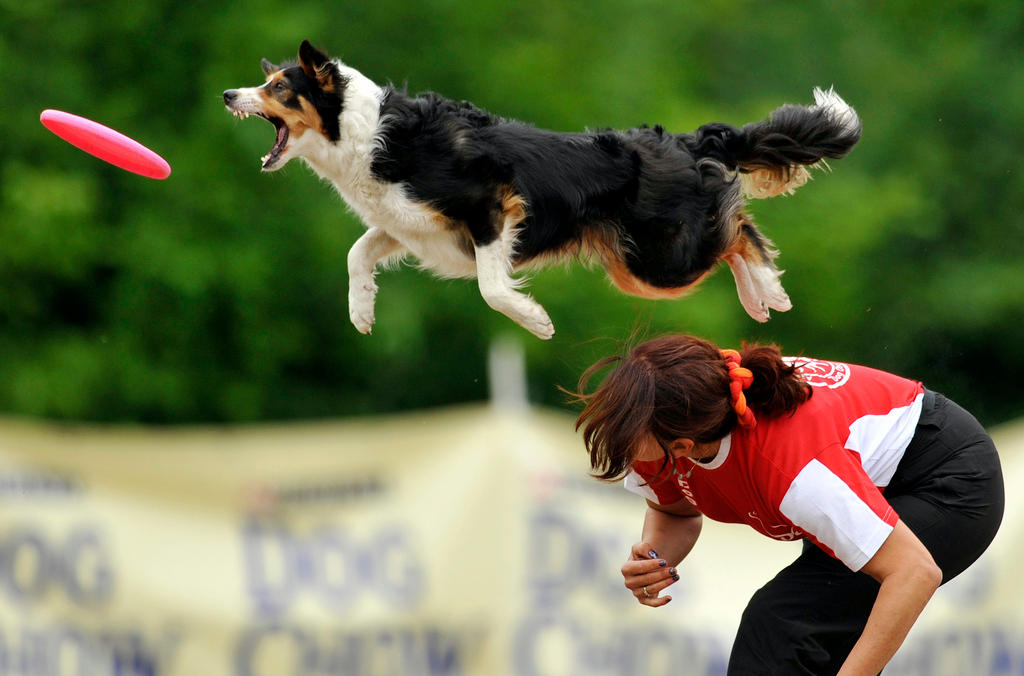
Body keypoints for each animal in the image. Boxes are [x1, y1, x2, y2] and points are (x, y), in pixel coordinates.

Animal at [226, 39, 864, 340]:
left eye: (279, 87)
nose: (229, 95)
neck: (363, 133)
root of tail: (685, 141)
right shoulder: (410, 225)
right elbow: (357, 252)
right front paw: (361, 312)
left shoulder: (491, 205)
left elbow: (490, 287)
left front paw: (535, 321)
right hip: (638, 263)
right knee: (736, 230)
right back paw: (762, 297)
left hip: (658, 261)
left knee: (739, 231)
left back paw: (768, 294)